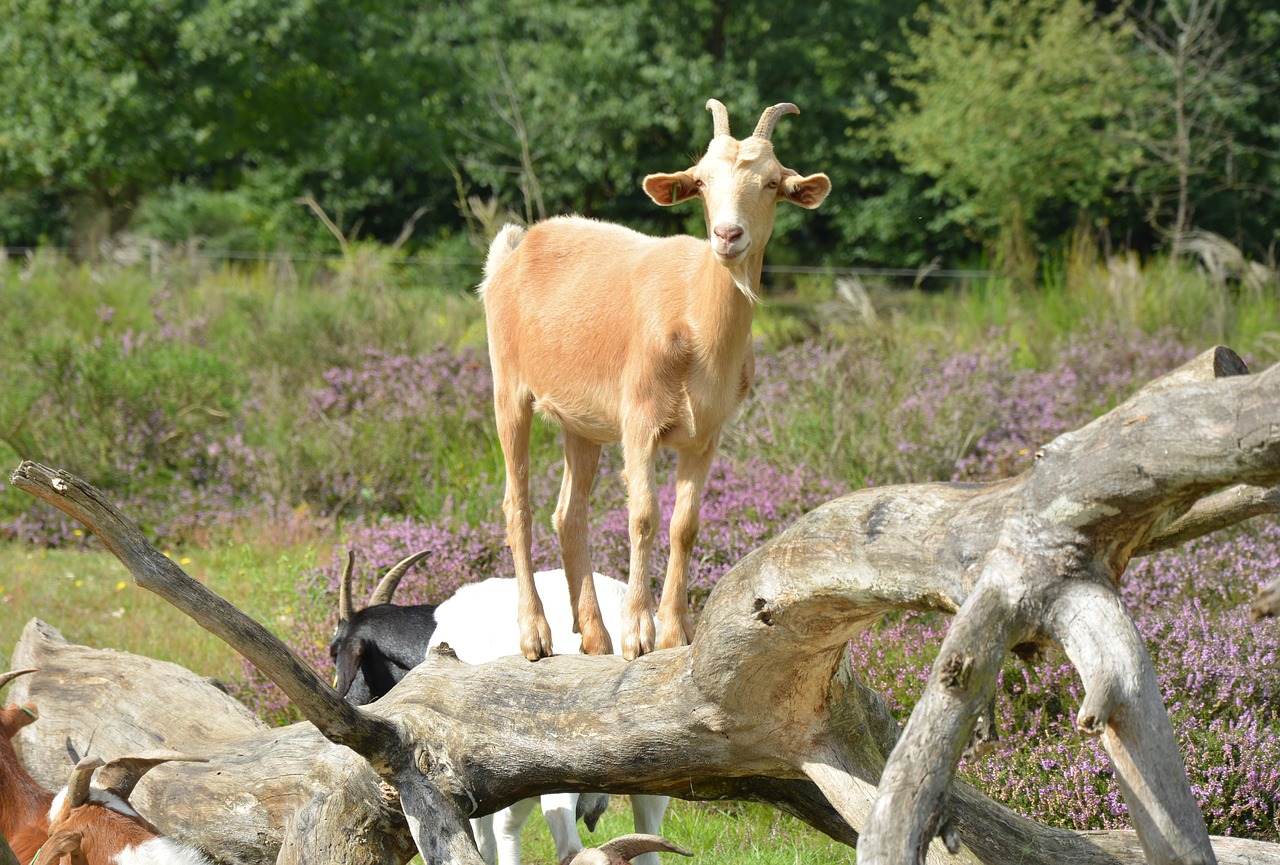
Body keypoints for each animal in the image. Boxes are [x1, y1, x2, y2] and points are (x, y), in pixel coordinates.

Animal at [481, 97, 829, 660]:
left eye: (773, 182)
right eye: (702, 181)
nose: (727, 235)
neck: (695, 320)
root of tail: (512, 252)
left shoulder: (707, 433)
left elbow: (685, 525)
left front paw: (674, 632)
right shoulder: (639, 418)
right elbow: (642, 514)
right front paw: (639, 633)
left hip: (581, 423)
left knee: (569, 513)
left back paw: (594, 637)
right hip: (508, 387)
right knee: (518, 505)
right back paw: (536, 634)